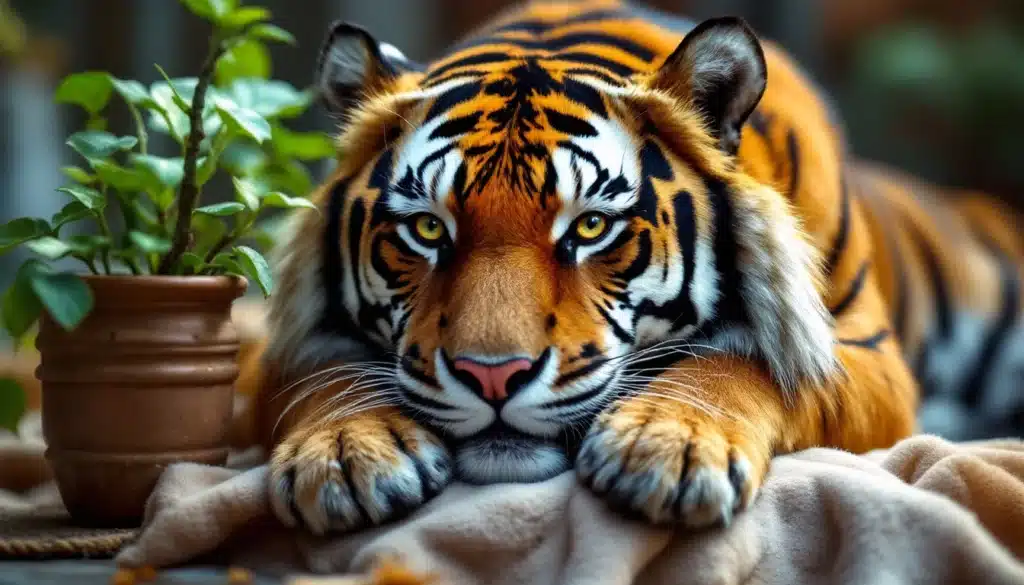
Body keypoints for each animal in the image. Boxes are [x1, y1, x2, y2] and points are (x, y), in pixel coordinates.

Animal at [244, 0, 1022, 537]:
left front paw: (668, 450)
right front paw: (345, 457)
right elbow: (323, 372)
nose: (491, 376)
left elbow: (746, 361)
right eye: (428, 228)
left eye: (591, 226)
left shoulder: (859, 349)